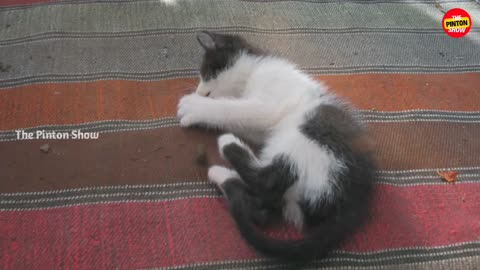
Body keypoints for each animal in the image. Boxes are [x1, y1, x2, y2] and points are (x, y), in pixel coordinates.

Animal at [176, 31, 376, 262]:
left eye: (208, 72)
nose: (200, 92)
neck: (253, 70)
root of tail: (354, 198)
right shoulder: (257, 128)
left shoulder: (271, 101)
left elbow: (234, 109)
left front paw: (194, 106)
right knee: (263, 209)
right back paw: (223, 175)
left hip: (310, 139)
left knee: (268, 182)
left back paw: (228, 146)